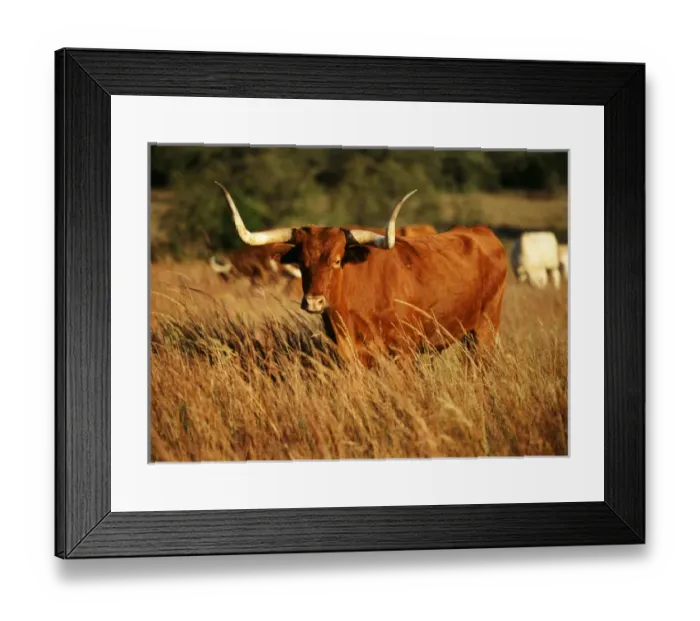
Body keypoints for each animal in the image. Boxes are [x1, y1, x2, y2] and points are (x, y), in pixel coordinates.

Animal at [215, 181, 508, 367]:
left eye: (336, 261)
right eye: (301, 262)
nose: (313, 302)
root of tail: (480, 231)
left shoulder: (403, 352)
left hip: (485, 330)